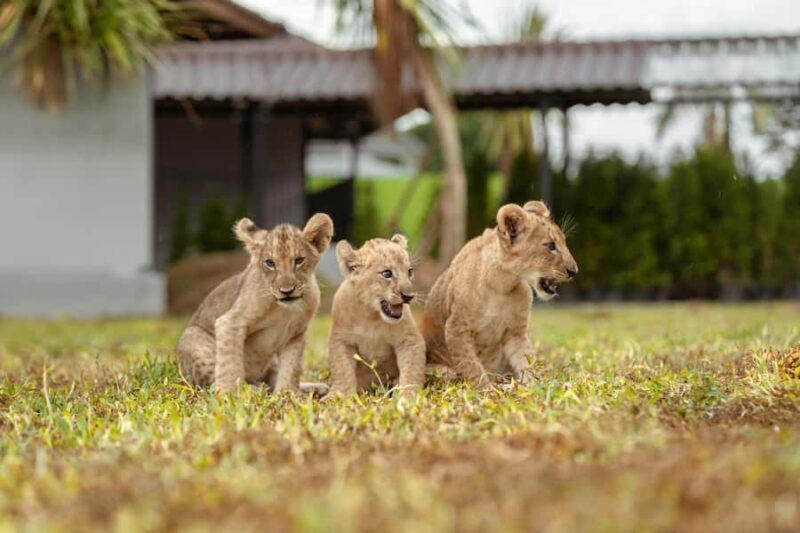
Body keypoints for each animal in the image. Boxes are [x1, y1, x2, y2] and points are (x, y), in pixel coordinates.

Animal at [175, 214, 333, 394]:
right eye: (270, 263)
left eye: (299, 260)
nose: (286, 291)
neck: (285, 310)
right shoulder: (229, 322)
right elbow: (229, 364)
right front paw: (228, 394)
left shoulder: (296, 334)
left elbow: (291, 367)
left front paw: (287, 393)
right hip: (193, 338)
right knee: (211, 381)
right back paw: (253, 389)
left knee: (272, 379)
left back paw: (313, 387)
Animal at [326, 235, 426, 398]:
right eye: (387, 273)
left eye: (409, 272)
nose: (409, 296)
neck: (371, 315)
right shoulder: (341, 339)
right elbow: (342, 370)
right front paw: (337, 396)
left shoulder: (410, 340)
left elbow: (412, 370)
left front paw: (408, 396)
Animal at [421, 201, 578, 386]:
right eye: (551, 245)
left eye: (564, 242)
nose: (574, 271)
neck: (502, 284)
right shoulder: (456, 329)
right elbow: (472, 367)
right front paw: (488, 390)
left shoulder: (516, 331)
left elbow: (526, 362)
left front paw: (536, 386)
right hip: (441, 369)